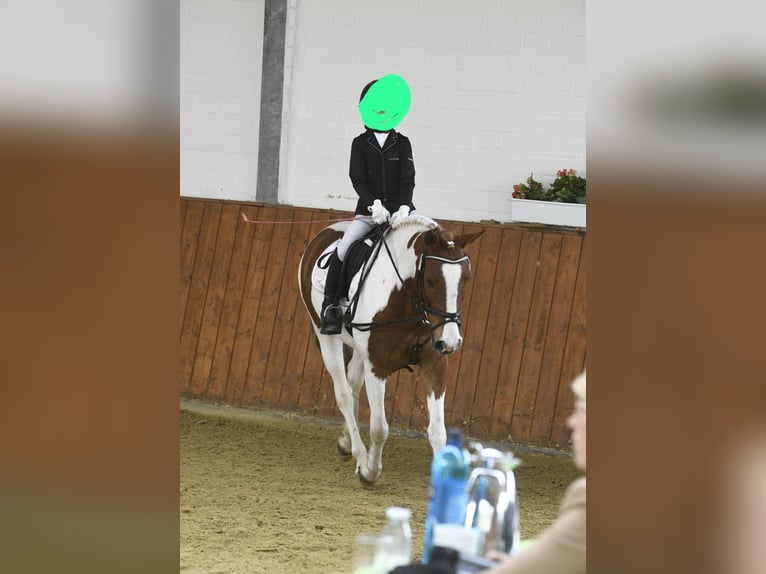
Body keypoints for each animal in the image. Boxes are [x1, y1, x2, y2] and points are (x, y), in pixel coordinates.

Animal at [298, 213, 482, 484]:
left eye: (466, 279)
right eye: (430, 280)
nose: (450, 342)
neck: (407, 301)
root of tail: (325, 232)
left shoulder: (435, 364)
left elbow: (438, 431)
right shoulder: (377, 365)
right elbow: (379, 428)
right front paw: (369, 471)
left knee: (353, 385)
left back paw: (346, 442)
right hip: (326, 336)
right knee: (344, 394)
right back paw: (359, 453)